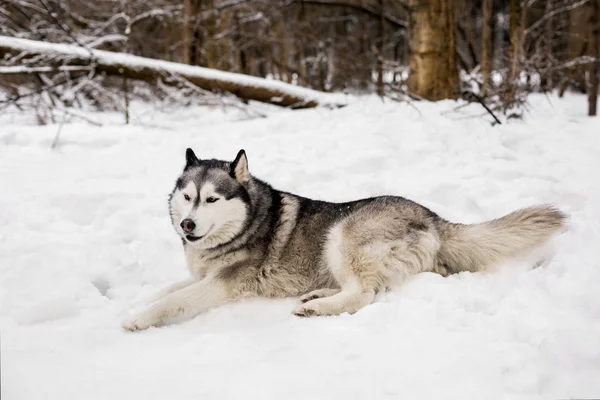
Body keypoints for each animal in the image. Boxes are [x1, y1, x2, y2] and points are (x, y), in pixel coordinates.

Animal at [120, 148, 564, 330]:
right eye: (188, 197)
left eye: (212, 199)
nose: (187, 226)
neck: (246, 224)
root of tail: (433, 217)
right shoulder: (202, 275)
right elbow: (165, 289)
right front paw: (134, 303)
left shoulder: (224, 284)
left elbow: (174, 300)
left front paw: (138, 319)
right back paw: (317, 297)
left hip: (341, 235)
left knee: (365, 294)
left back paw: (317, 308)